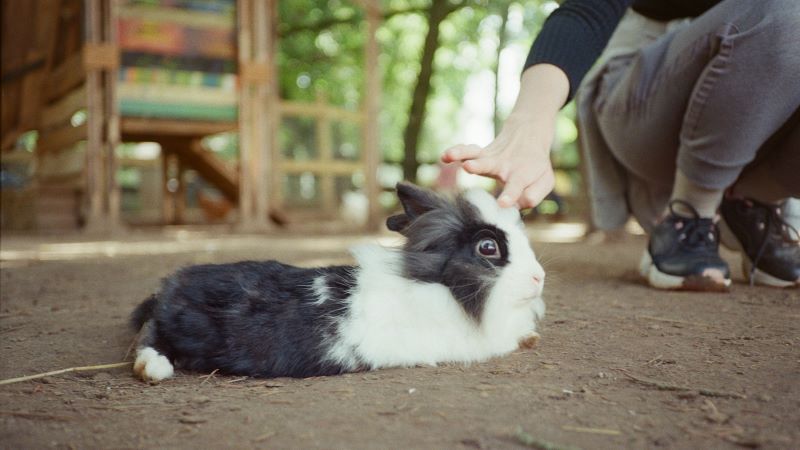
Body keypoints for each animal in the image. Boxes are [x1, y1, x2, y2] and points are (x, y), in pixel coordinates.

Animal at [130, 181, 544, 382]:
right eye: (488, 247)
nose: (539, 278)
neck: (445, 288)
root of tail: (171, 287)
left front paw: (532, 336)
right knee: (149, 340)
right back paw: (155, 371)